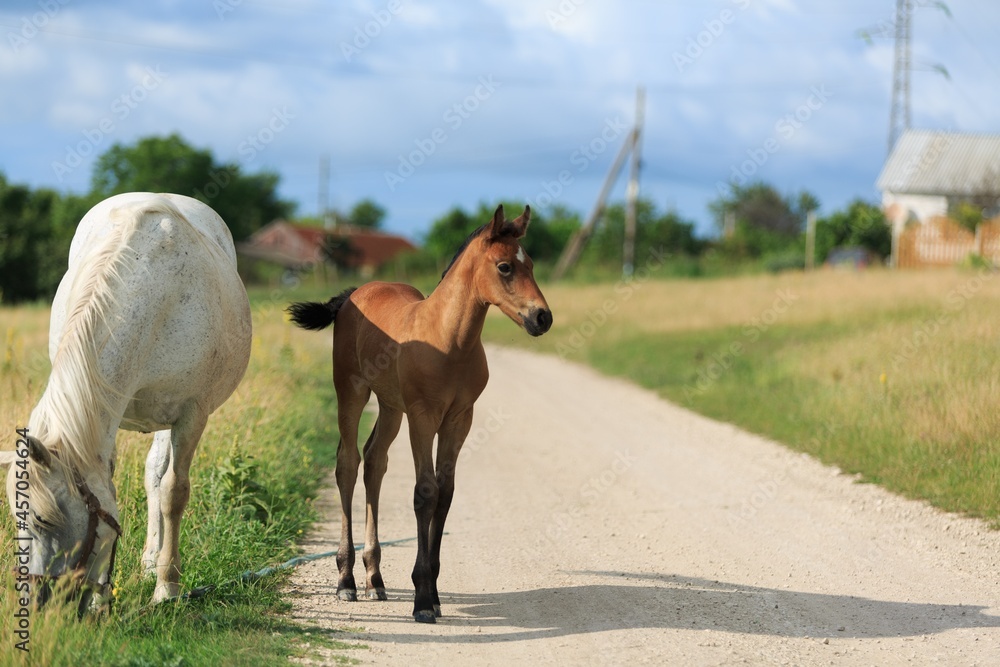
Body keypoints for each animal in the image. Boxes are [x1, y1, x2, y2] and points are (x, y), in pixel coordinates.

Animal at [1, 193, 252, 612]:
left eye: (43, 521)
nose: (37, 604)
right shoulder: (104, 412)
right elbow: (117, 489)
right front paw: (101, 601)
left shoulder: (190, 415)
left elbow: (174, 493)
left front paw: (167, 587)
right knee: (152, 475)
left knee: (160, 479)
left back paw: (156, 566)